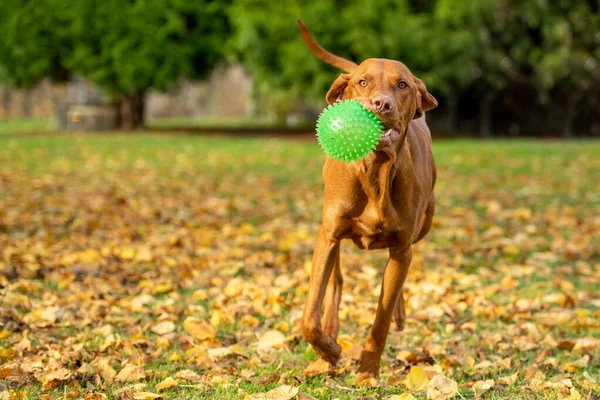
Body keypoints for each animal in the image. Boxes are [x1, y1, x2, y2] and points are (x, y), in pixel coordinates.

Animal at [298, 20, 438, 386]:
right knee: (335, 279)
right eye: (363, 82)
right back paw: (331, 332)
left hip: (424, 224)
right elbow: (309, 317)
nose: (381, 104)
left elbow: (381, 320)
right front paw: (328, 351)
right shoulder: (328, 233)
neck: (375, 171)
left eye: (402, 85)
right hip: (328, 233)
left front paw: (367, 372)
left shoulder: (402, 247)